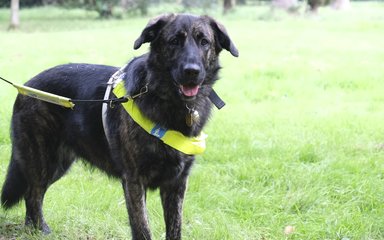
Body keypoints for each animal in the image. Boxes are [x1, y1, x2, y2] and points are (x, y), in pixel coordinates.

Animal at [0, 13, 237, 240]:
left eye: (204, 42)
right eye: (174, 41)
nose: (191, 72)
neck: (165, 99)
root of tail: (26, 86)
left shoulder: (176, 183)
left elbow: (175, 228)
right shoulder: (134, 181)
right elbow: (142, 229)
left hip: (59, 163)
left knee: (32, 194)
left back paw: (35, 230)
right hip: (43, 160)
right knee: (33, 193)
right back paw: (40, 230)